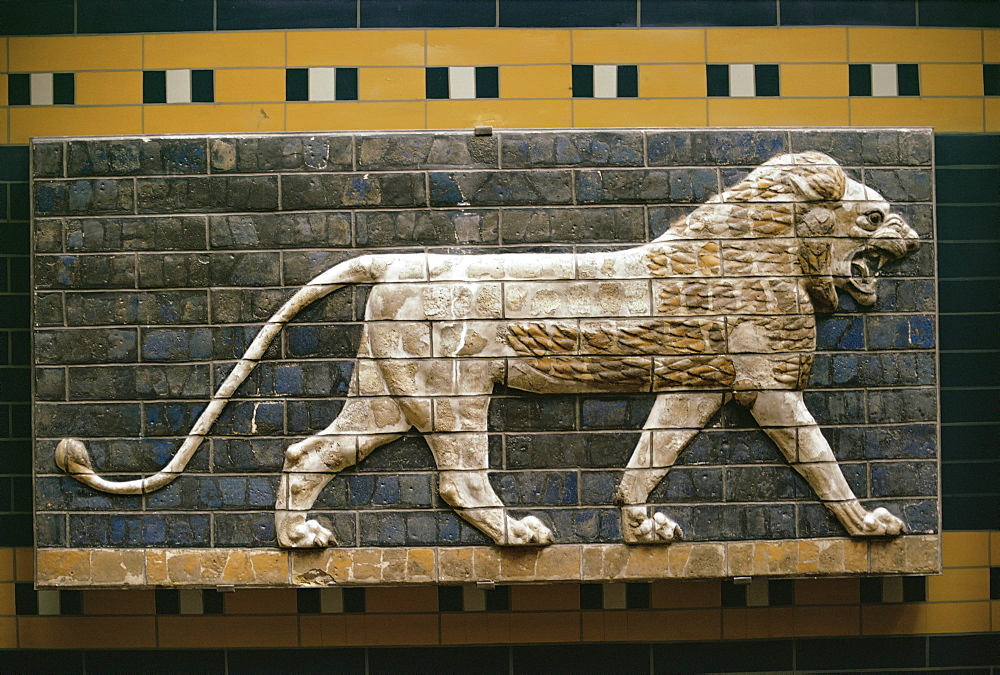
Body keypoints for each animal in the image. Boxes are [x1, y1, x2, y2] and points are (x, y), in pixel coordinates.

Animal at [58, 152, 920, 548]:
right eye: (875, 216)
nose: (912, 240)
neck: (781, 248)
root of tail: (393, 260)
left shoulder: (694, 384)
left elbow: (648, 455)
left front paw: (639, 526)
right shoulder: (764, 383)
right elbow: (819, 454)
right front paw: (868, 524)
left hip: (385, 396)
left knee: (307, 452)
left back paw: (299, 539)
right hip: (452, 392)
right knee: (457, 481)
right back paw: (517, 535)